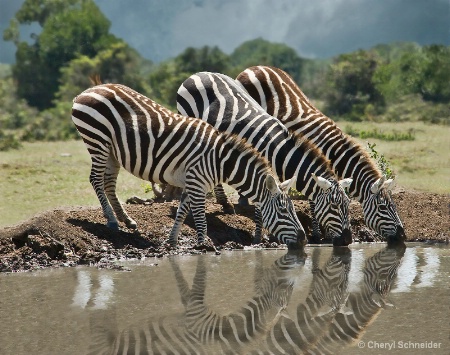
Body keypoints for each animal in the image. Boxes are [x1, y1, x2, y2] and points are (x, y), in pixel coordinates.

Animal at [71, 83, 306, 250]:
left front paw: (172, 240)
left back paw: (126, 220)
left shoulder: (191, 183)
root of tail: (87, 91)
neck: (220, 161)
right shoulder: (197, 181)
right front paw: (204, 245)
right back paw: (112, 220)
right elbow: (200, 218)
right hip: (97, 139)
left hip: (112, 150)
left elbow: (182, 211)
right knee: (96, 179)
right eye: (284, 210)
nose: (304, 240)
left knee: (109, 183)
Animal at [177, 72, 356, 248]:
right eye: (334, 206)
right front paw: (259, 237)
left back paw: (224, 203)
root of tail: (199, 73)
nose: (347, 240)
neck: (277, 151)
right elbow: (260, 206)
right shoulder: (257, 169)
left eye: (347, 204)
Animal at [237, 65, 406, 243]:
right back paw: (242, 199)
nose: (402, 236)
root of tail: (255, 67)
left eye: (394, 206)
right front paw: (318, 233)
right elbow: (313, 200)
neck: (334, 152)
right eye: (382, 207)